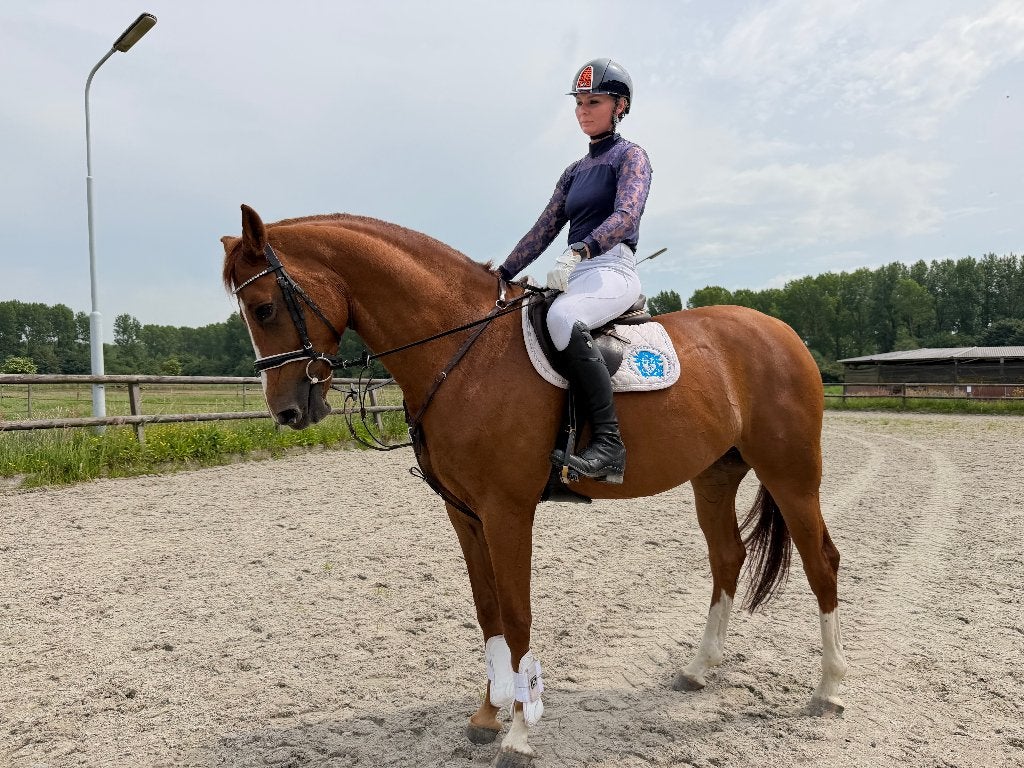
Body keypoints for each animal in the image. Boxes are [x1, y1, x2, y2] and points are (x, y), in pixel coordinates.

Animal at [221, 205, 847, 767]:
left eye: (265, 307)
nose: (287, 411)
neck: (463, 352)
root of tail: (782, 332)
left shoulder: (508, 511)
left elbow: (518, 613)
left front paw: (519, 735)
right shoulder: (465, 513)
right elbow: (488, 610)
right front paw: (487, 714)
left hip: (791, 472)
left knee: (821, 560)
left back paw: (829, 689)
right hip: (714, 476)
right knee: (727, 556)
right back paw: (698, 670)